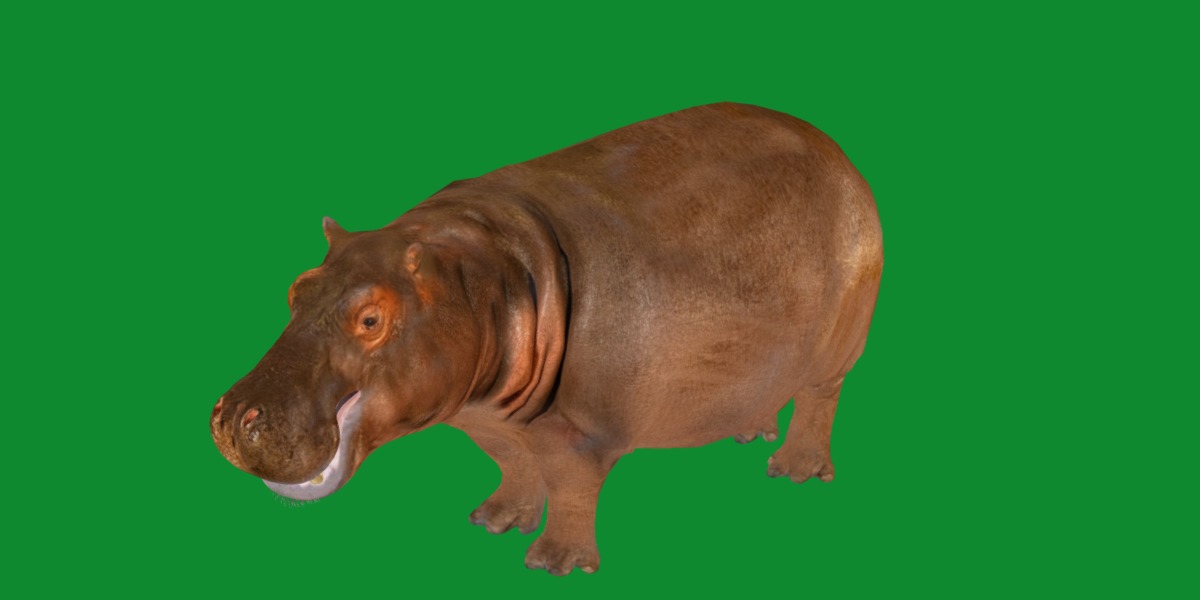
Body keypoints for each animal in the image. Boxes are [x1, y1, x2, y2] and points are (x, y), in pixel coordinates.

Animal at [210, 102, 882, 575]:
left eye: (371, 319)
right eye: (297, 287)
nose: (237, 416)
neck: (477, 276)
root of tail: (837, 149)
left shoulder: (581, 431)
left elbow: (570, 485)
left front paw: (554, 564)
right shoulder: (485, 417)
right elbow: (512, 461)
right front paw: (493, 521)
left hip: (839, 349)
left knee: (820, 400)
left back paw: (793, 471)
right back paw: (750, 430)